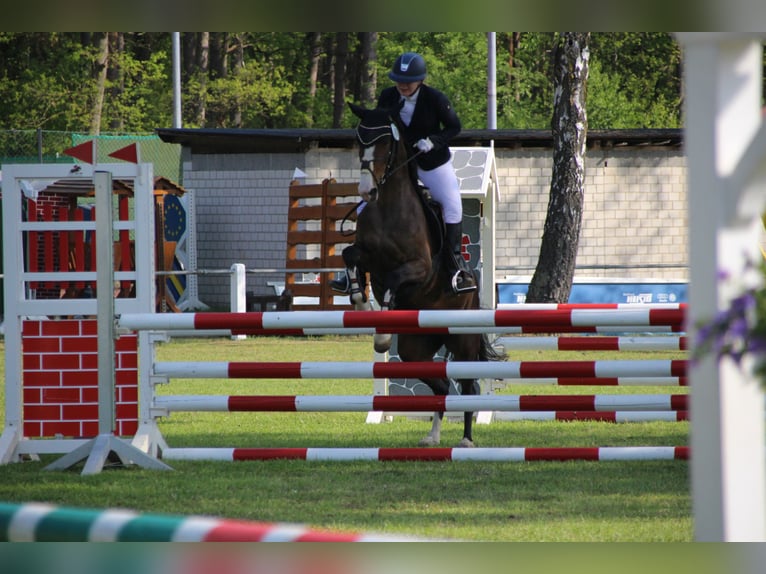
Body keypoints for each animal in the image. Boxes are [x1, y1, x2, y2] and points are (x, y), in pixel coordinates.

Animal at [342, 101, 504, 448]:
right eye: (359, 140)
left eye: (386, 143)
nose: (366, 190)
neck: (388, 206)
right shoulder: (367, 256)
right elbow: (349, 256)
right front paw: (360, 301)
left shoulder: (420, 267)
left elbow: (393, 280)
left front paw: (382, 333)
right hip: (415, 348)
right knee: (441, 385)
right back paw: (432, 436)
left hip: (462, 341)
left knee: (467, 386)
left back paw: (466, 439)